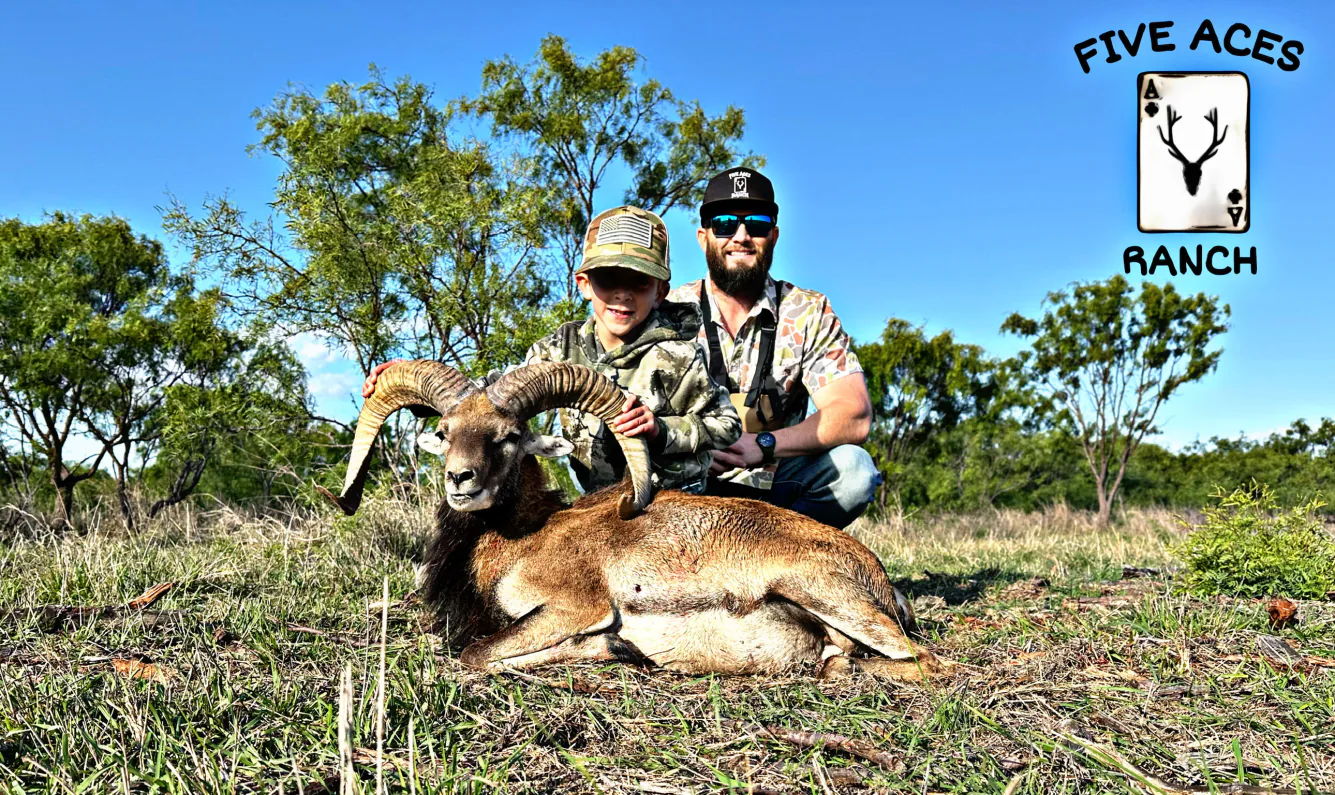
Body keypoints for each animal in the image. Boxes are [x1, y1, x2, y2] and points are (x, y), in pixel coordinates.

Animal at [317, 360, 945, 680]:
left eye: (509, 436)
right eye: (445, 433)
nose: (460, 480)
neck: (514, 541)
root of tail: (877, 575)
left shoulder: (573, 606)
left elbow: (476, 654)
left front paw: (617, 649)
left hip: (823, 593)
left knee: (924, 662)